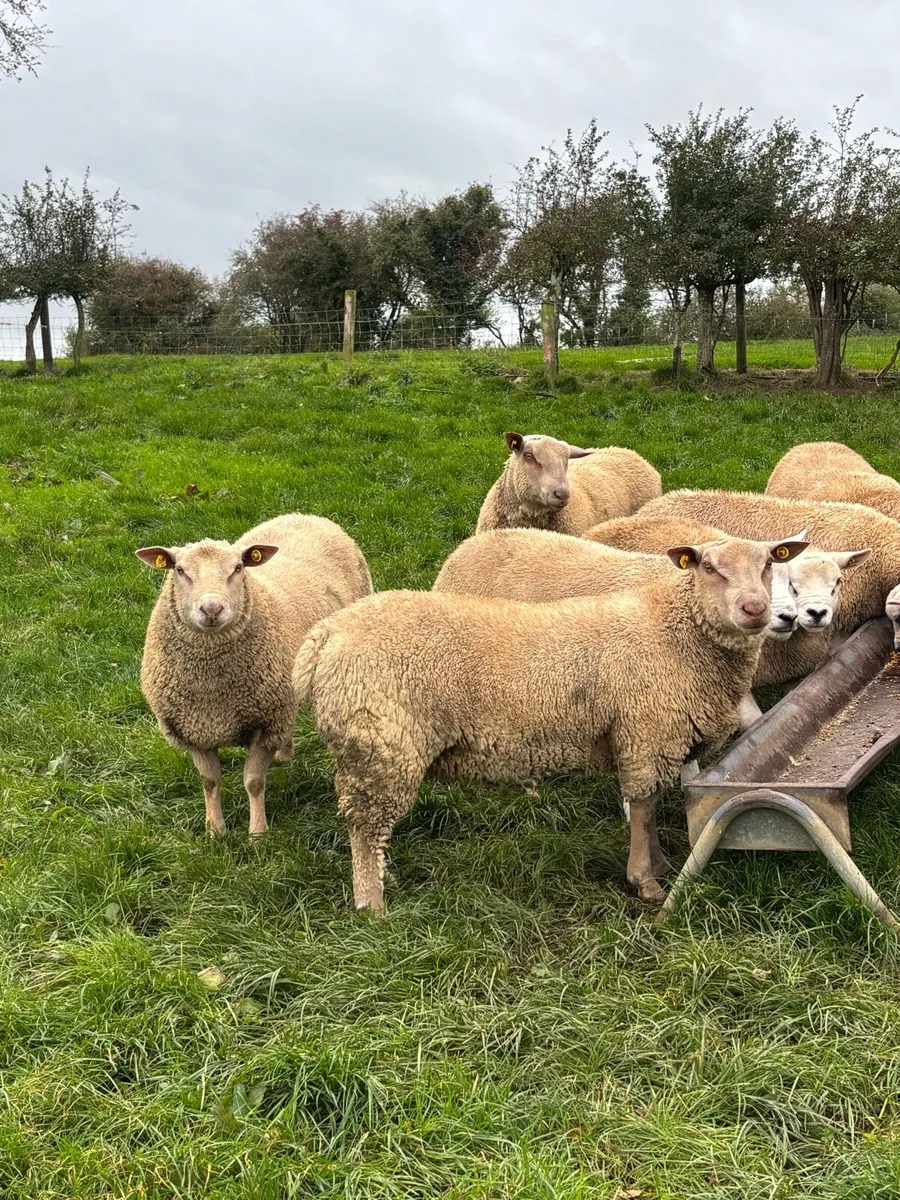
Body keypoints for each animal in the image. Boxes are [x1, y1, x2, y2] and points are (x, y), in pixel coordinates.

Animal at [137, 513, 373, 836]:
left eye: (237, 568)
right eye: (180, 570)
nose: (212, 608)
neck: (212, 686)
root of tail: (306, 515)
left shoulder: (265, 723)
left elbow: (253, 781)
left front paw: (258, 832)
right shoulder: (192, 729)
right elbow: (209, 781)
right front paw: (215, 830)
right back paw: (285, 756)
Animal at [294, 535, 807, 910]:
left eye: (768, 564)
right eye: (709, 568)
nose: (755, 609)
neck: (676, 631)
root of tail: (325, 635)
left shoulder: (652, 738)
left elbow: (651, 807)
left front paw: (659, 865)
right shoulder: (645, 734)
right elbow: (642, 810)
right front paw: (646, 881)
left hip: (372, 751)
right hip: (381, 747)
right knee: (364, 829)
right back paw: (372, 905)